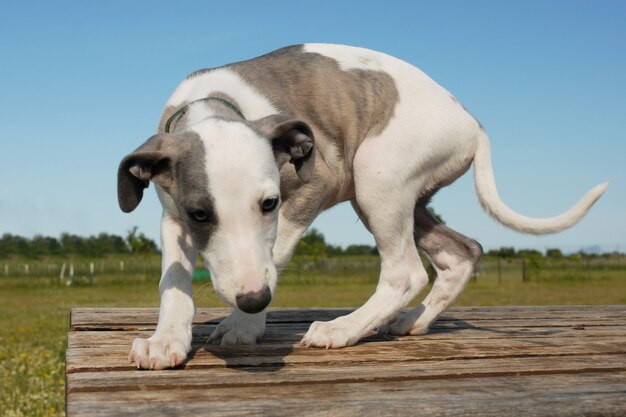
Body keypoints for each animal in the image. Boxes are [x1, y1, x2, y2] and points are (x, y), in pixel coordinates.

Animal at [116, 44, 604, 368]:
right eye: (200, 214)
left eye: (269, 204)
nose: (254, 299)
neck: (212, 107)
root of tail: (473, 124)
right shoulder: (171, 215)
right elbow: (173, 281)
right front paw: (166, 341)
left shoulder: (315, 184)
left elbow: (274, 254)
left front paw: (244, 325)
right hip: (408, 196)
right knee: (462, 252)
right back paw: (411, 322)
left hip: (376, 174)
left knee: (406, 272)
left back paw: (342, 328)